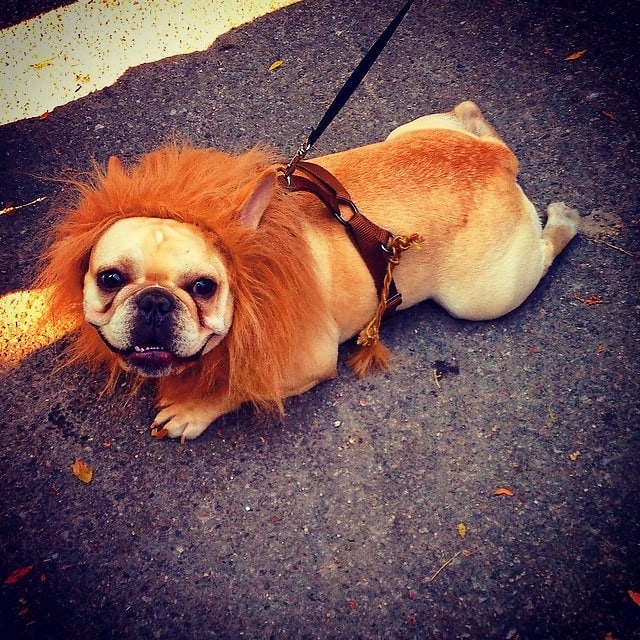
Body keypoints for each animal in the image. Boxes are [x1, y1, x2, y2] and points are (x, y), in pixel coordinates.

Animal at [37, 101, 584, 440]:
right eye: (110, 279)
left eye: (204, 288)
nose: (154, 301)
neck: (255, 272)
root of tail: (496, 162)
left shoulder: (306, 360)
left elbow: (242, 386)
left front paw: (195, 407)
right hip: (412, 130)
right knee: (467, 116)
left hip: (484, 296)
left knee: (542, 250)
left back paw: (565, 220)